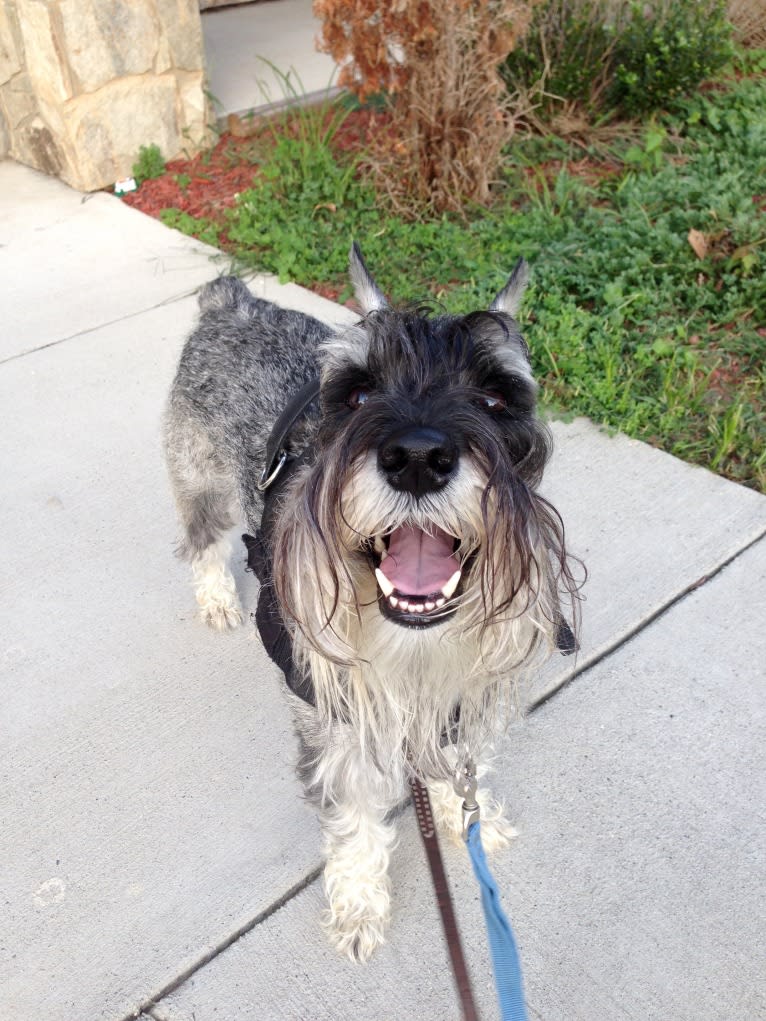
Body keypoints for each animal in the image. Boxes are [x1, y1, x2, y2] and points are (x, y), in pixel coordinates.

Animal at [163, 242, 580, 959]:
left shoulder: (453, 698)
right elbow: (354, 816)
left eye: (496, 396)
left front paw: (467, 817)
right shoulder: (334, 723)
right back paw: (216, 598)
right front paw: (359, 906)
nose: (417, 457)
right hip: (203, 480)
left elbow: (454, 765)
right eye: (356, 393)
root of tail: (231, 301)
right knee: (204, 542)